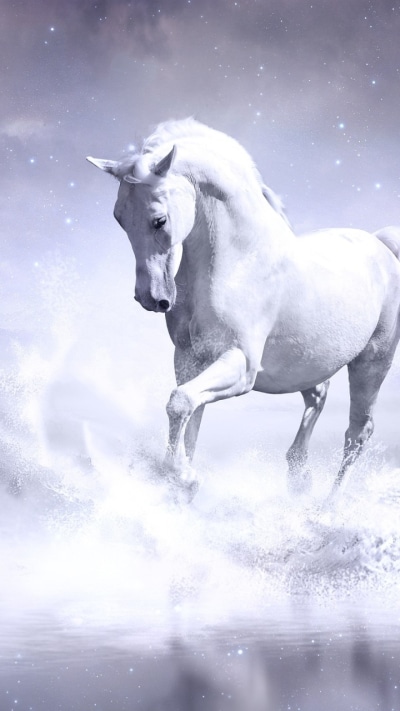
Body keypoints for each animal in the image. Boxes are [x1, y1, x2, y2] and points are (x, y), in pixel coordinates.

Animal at [87, 118, 400, 500]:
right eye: (119, 218)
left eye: (159, 220)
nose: (151, 298)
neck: (240, 262)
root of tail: (381, 245)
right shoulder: (190, 360)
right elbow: (189, 415)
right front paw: (182, 480)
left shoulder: (241, 365)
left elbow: (179, 402)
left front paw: (183, 476)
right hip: (306, 362)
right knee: (319, 396)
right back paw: (299, 477)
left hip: (372, 363)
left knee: (357, 433)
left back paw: (327, 505)